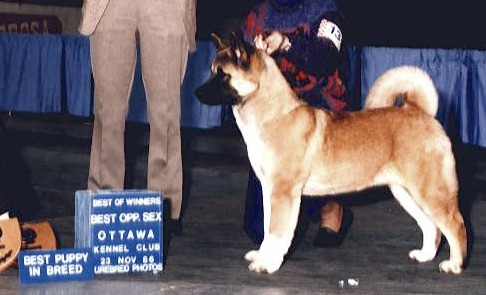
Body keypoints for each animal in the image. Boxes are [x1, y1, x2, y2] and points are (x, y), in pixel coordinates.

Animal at [194, 33, 468, 276]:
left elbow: (277, 233)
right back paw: (424, 256)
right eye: (212, 70)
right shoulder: (270, 190)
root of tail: (419, 111)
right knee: (431, 226)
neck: (274, 116)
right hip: (405, 192)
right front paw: (261, 256)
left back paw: (453, 265)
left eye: (222, 74)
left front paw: (267, 265)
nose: (196, 93)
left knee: (455, 224)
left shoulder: (284, 192)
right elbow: (268, 227)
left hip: (431, 191)